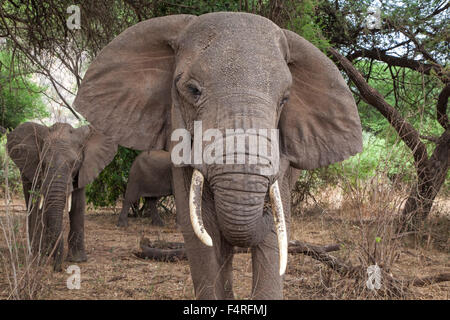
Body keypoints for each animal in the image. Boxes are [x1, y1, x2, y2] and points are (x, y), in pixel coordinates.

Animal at [6, 121, 118, 272]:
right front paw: (41, 257)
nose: (57, 268)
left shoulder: (83, 169)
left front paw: (77, 260)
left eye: (74, 164)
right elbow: (39, 203)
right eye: (43, 164)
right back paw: (38, 253)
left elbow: (78, 204)